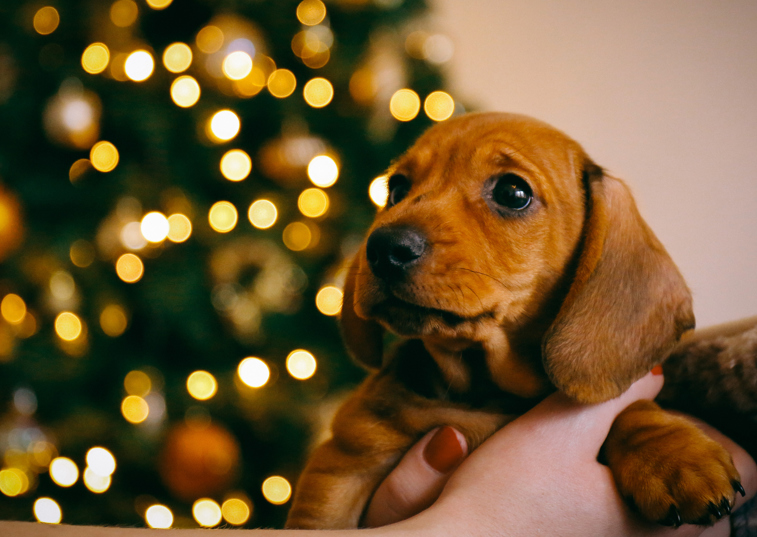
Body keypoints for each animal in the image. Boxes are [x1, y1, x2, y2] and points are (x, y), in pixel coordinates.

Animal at [284, 112, 744, 528]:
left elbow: (630, 408)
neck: (483, 390)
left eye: (512, 191)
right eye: (396, 189)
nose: (382, 248)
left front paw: (674, 456)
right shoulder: (341, 464)